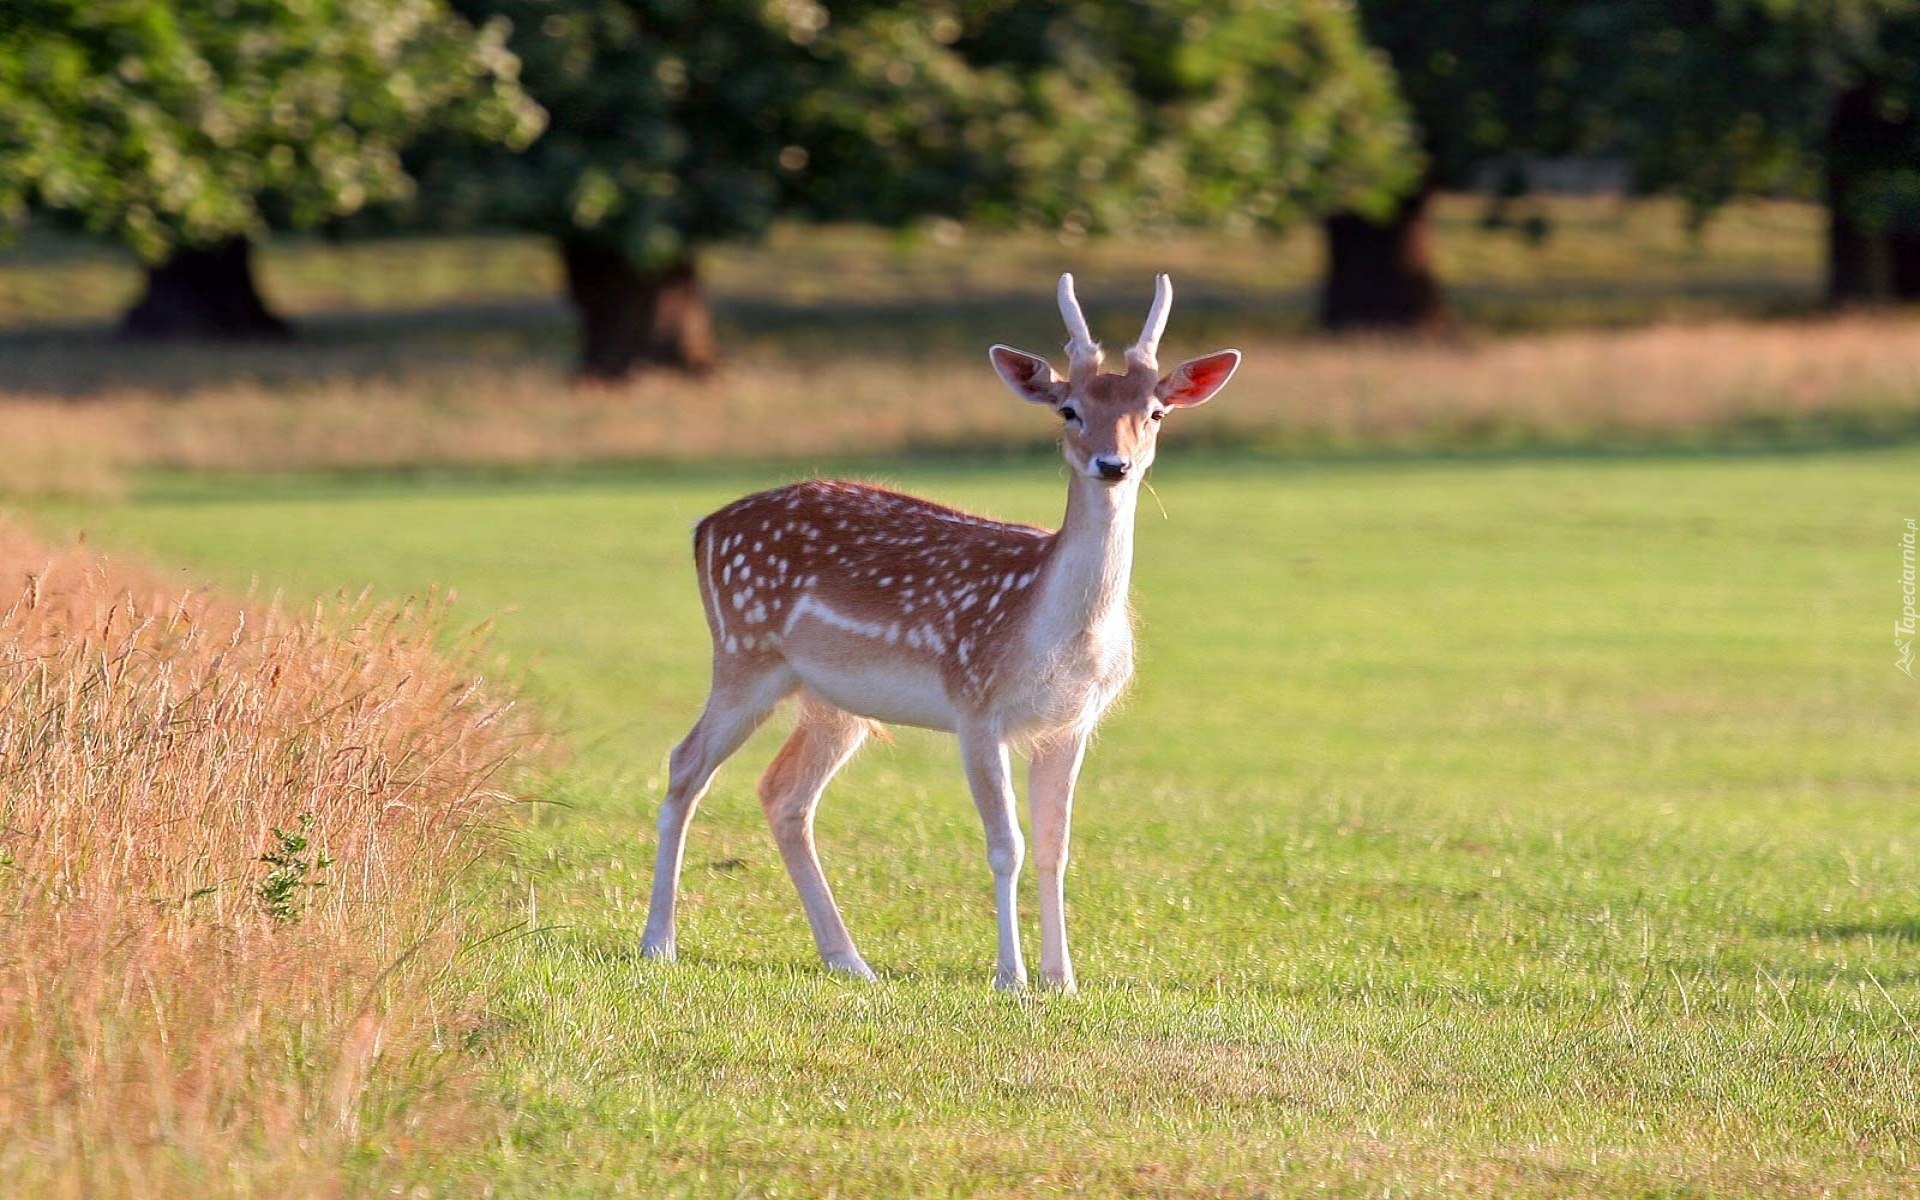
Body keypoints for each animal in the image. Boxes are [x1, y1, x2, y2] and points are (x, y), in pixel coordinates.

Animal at [641, 274, 1244, 990]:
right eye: (1068, 409)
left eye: (1155, 412)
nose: (1113, 464)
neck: (1053, 631)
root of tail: (704, 527)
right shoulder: (976, 703)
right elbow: (1006, 844)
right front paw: (1011, 977)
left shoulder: (1072, 723)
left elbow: (1056, 845)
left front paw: (1062, 979)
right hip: (744, 652)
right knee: (686, 764)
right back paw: (658, 942)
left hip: (832, 700)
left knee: (783, 794)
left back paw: (849, 959)